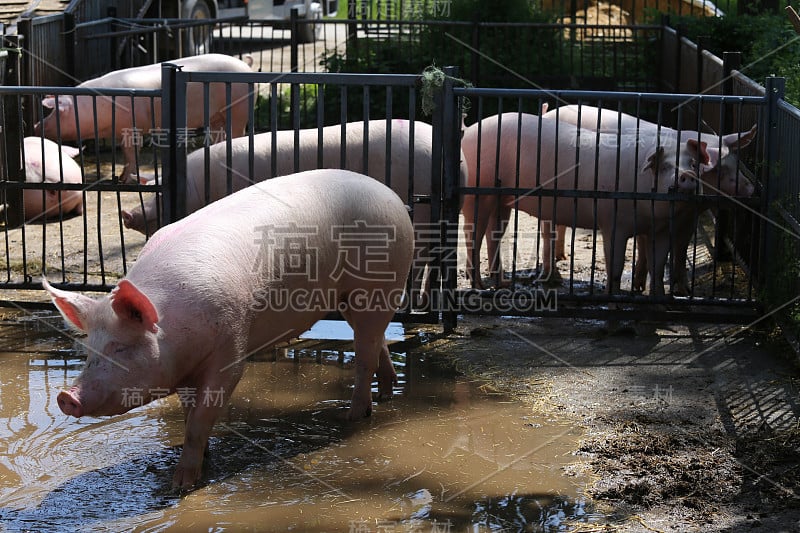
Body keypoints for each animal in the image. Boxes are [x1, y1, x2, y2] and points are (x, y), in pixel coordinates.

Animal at [44, 168, 416, 488]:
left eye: (121, 347)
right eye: (89, 350)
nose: (66, 396)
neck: (174, 327)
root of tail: (391, 195)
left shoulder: (230, 350)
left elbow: (200, 419)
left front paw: (181, 485)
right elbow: (189, 414)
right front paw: (203, 458)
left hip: (376, 285)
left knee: (365, 352)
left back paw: (354, 418)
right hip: (348, 298)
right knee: (377, 340)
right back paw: (386, 394)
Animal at [456, 112, 708, 296]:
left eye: (694, 164)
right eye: (664, 166)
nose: (687, 175)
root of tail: (470, 131)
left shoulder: (662, 230)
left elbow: (658, 267)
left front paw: (660, 301)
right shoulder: (613, 223)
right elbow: (615, 266)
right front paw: (613, 298)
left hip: (502, 199)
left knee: (493, 235)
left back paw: (504, 283)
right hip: (480, 191)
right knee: (473, 235)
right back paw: (480, 286)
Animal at [544, 104, 756, 296]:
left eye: (736, 163)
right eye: (719, 170)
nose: (751, 188)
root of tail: (550, 113)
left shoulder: (686, 221)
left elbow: (675, 251)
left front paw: (676, 290)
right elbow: (658, 249)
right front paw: (658, 289)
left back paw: (562, 256)